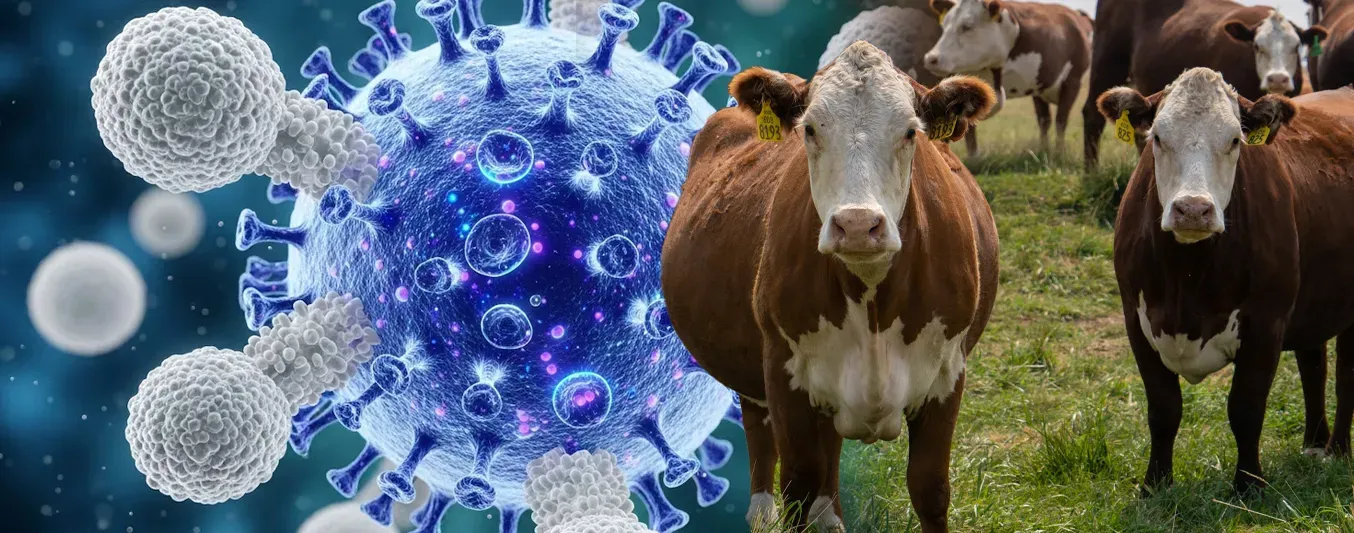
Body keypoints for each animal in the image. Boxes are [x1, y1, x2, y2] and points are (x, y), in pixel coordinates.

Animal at [662, 41, 1000, 532]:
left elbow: (930, 487)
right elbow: (798, 482)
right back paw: (762, 514)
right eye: (810, 130)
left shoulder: (948, 372)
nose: (857, 225)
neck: (872, 297)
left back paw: (831, 516)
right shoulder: (783, 370)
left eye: (910, 132)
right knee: (761, 433)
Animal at [921, 0, 1094, 155]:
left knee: (1054, 120)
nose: (931, 58)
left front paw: (1059, 153)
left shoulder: (1073, 82)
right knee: (1044, 120)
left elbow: (1061, 120)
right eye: (944, 26)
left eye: (967, 26)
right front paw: (973, 158)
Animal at [1083, 0, 1327, 170]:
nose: (1277, 78)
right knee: (1092, 116)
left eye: (1296, 47)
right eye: (1258, 46)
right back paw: (1091, 172)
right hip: (1106, 64)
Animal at [1097, 67, 1354, 496]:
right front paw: (1156, 484)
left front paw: (1249, 484)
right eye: (1157, 138)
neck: (1185, 277)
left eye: (1235, 139)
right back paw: (1315, 444)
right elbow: (1163, 409)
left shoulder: (1266, 322)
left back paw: (1337, 450)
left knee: (1346, 372)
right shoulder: (1137, 320)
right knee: (1314, 361)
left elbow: (1246, 408)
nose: (1193, 209)